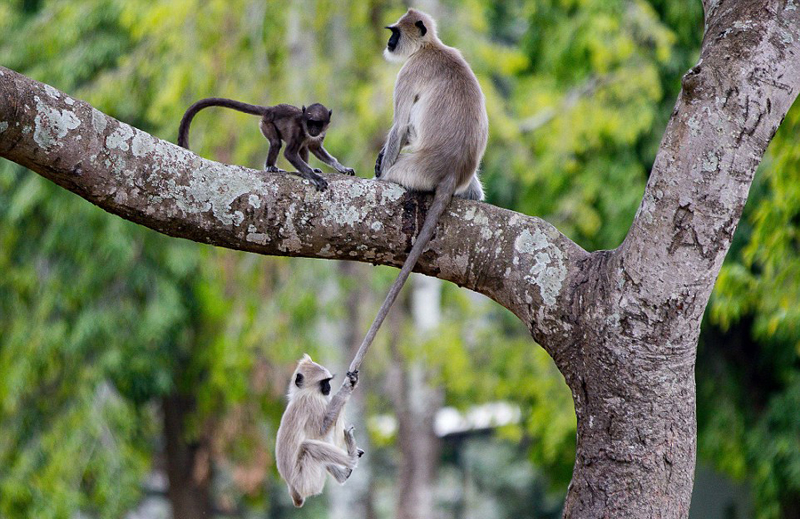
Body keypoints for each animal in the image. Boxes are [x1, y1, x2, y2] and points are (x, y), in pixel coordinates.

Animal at [183, 98, 358, 191]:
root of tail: (271, 109)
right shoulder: (298, 131)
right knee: (276, 142)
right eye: (310, 122)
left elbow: (315, 148)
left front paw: (342, 168)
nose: (313, 130)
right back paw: (271, 166)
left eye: (318, 124)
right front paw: (314, 177)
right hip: (266, 123)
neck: (305, 128)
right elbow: (289, 153)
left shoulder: (319, 136)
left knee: (304, 148)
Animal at [276, 354, 362, 508]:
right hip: (305, 480)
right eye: (324, 382)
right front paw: (345, 391)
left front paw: (353, 382)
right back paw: (351, 459)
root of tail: (292, 488)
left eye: (328, 381)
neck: (303, 393)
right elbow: (321, 430)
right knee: (309, 446)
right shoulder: (312, 402)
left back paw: (343, 474)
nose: (329, 387)